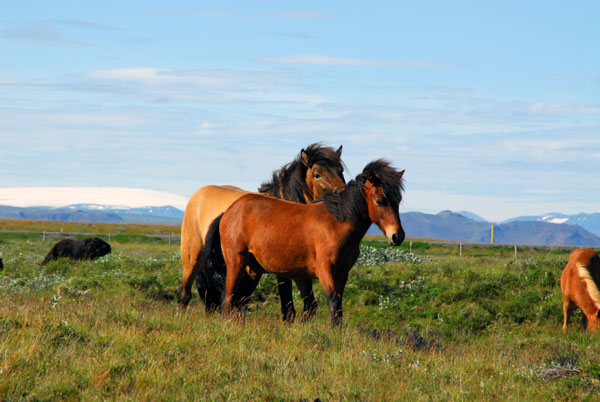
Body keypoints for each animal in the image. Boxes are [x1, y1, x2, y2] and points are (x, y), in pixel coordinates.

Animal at [179, 144, 346, 320]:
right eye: (317, 174)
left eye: (340, 170)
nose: (342, 195)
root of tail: (199, 194)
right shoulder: (283, 270)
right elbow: (289, 308)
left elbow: (310, 305)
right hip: (193, 257)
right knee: (186, 293)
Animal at [200, 159, 404, 326]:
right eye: (380, 201)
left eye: (398, 200)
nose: (397, 236)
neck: (336, 223)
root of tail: (228, 212)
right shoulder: (324, 271)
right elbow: (333, 303)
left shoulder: (342, 274)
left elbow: (337, 306)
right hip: (236, 264)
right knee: (229, 297)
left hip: (253, 270)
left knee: (241, 300)